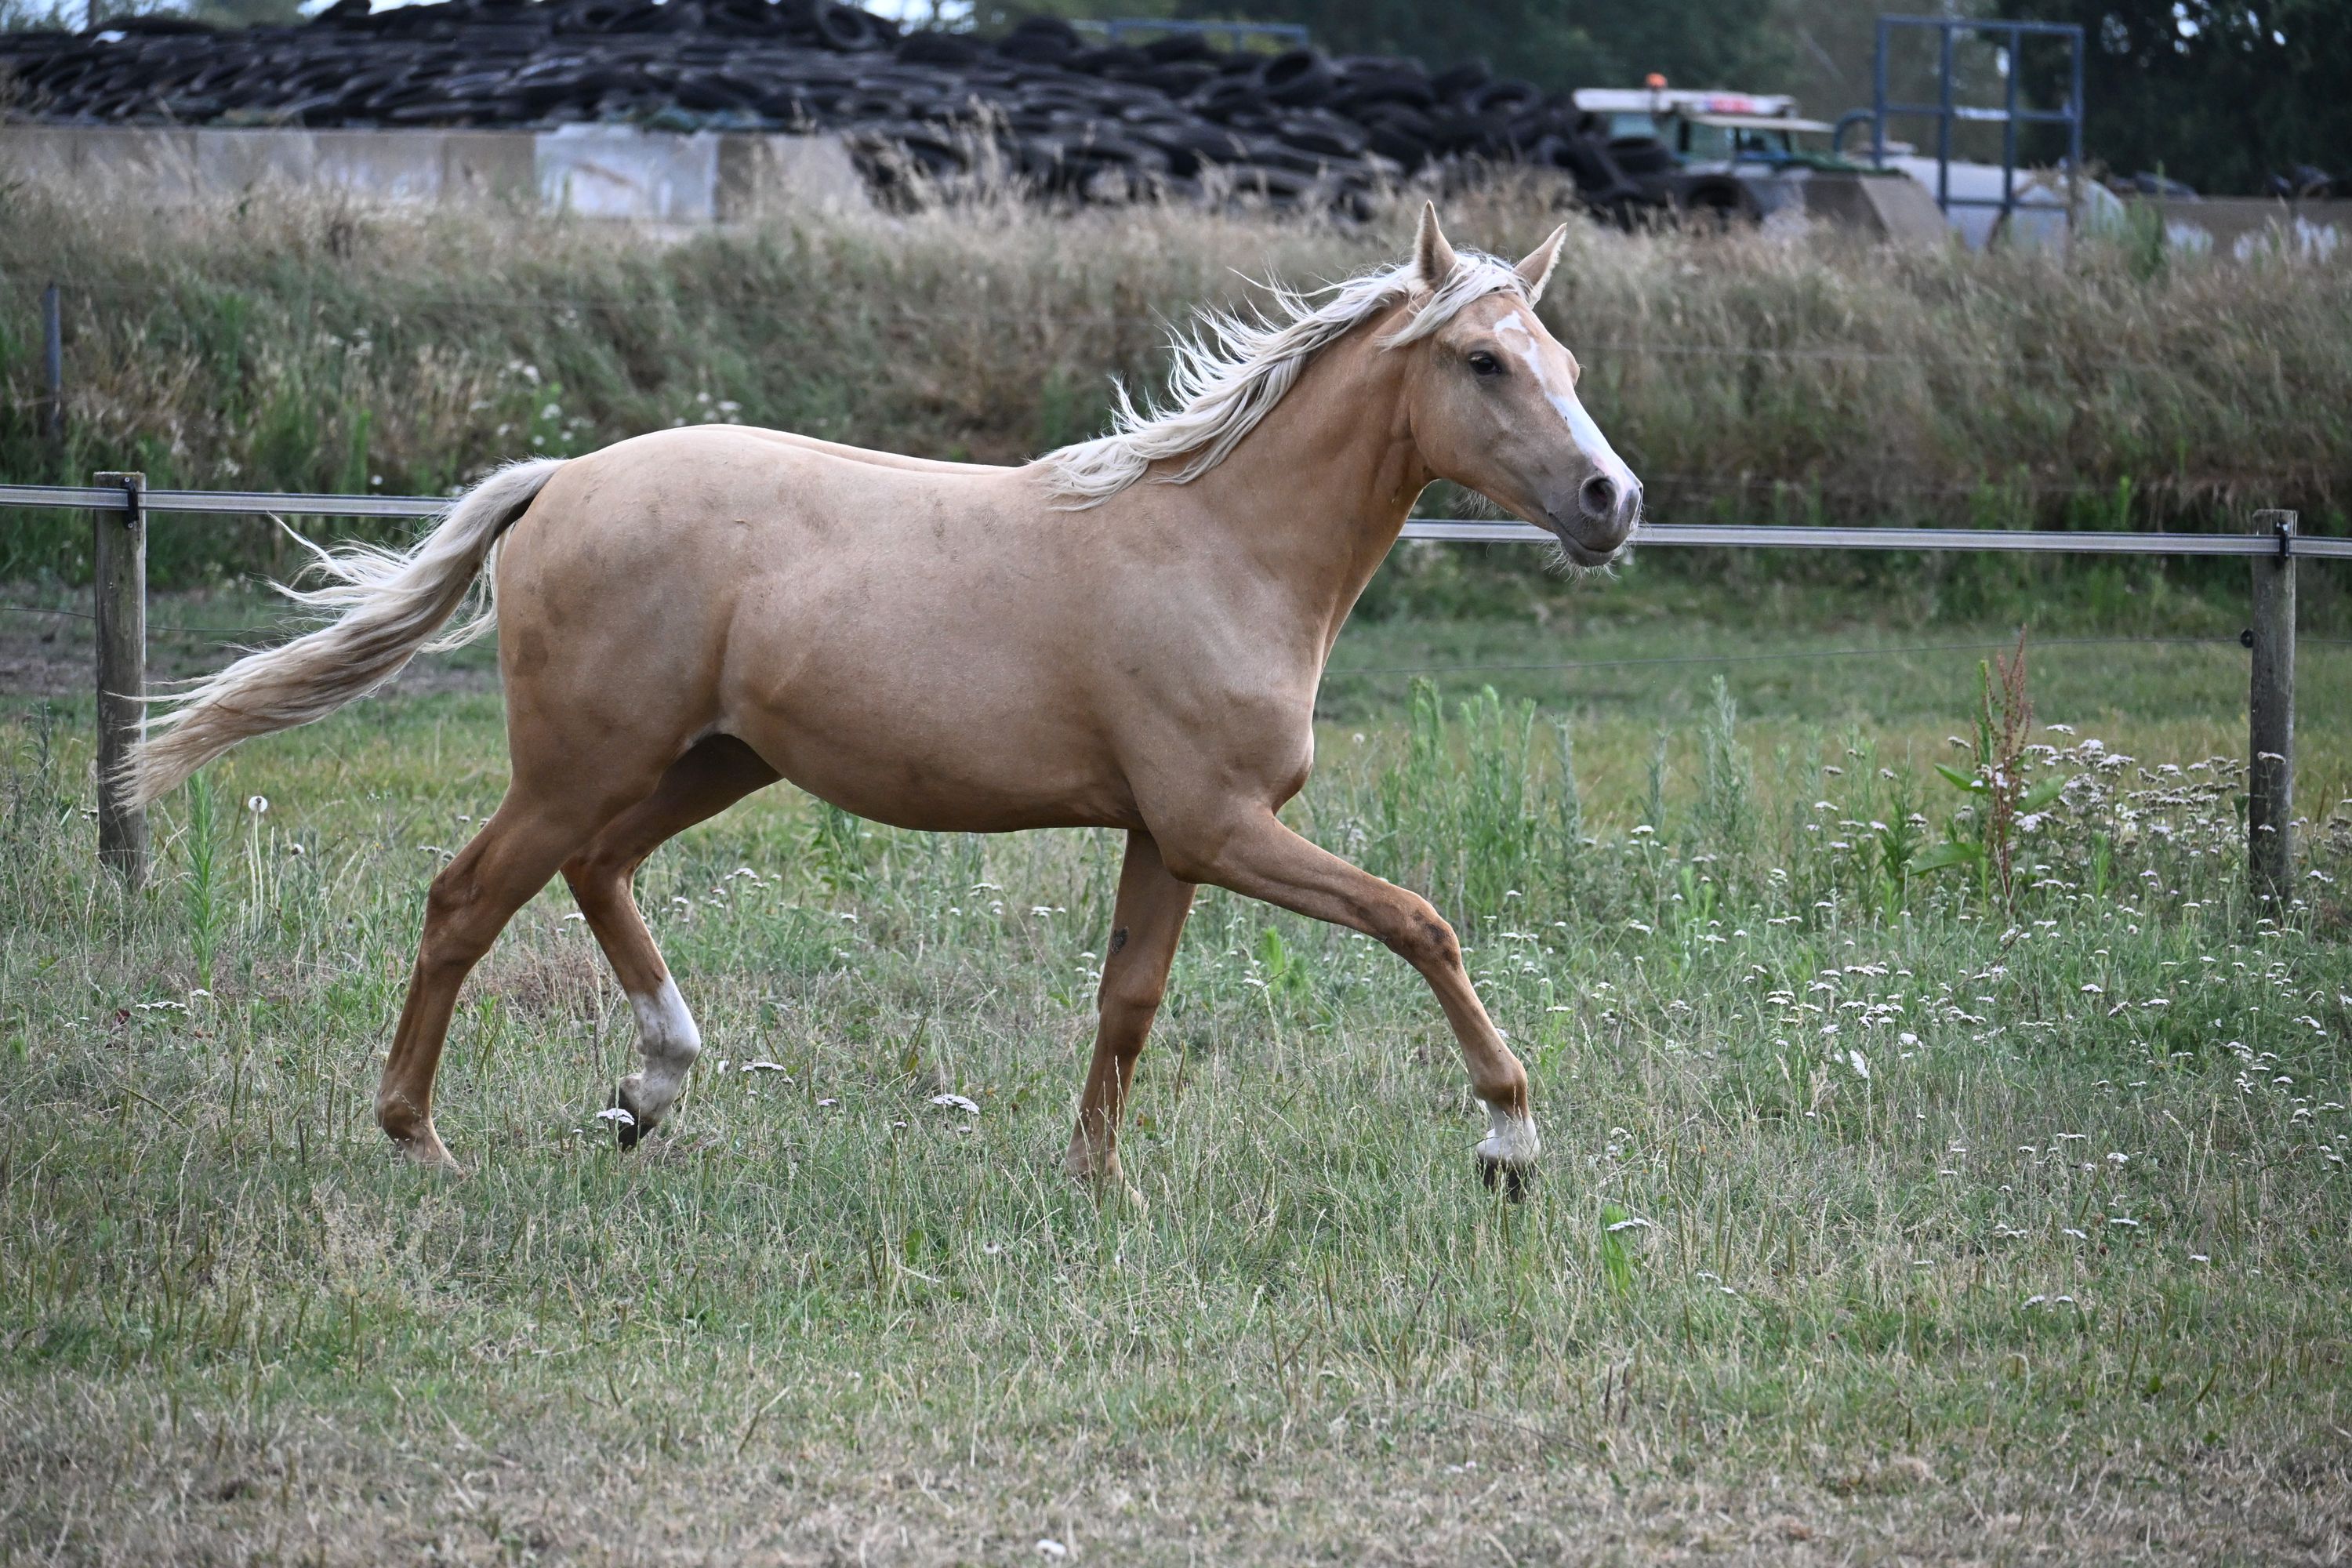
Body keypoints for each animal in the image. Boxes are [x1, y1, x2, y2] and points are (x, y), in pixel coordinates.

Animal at [124, 205, 1642, 1195]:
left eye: (1568, 363)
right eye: (1484, 362)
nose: (1610, 501)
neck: (1221, 545)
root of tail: (560, 480)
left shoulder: (1168, 837)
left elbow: (1128, 1004)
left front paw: (1092, 1181)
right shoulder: (1223, 827)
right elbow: (1421, 923)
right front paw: (1509, 1142)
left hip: (710, 760)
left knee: (595, 869)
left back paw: (647, 1093)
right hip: (585, 759)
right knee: (466, 899)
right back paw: (422, 1138)